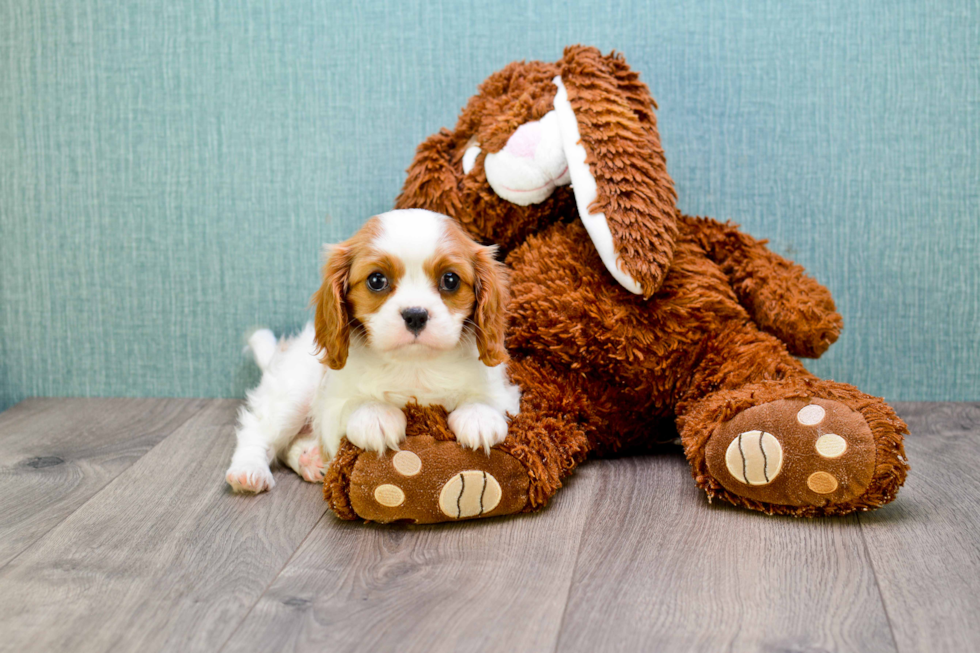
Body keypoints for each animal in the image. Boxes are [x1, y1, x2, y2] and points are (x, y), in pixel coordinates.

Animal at [227, 208, 524, 488]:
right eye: (377, 280)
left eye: (450, 280)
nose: (415, 315)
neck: (414, 365)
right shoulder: (331, 407)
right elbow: (350, 406)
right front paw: (376, 416)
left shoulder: (505, 392)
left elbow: (489, 399)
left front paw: (478, 415)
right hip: (294, 389)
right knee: (260, 429)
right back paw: (248, 471)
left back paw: (309, 459)